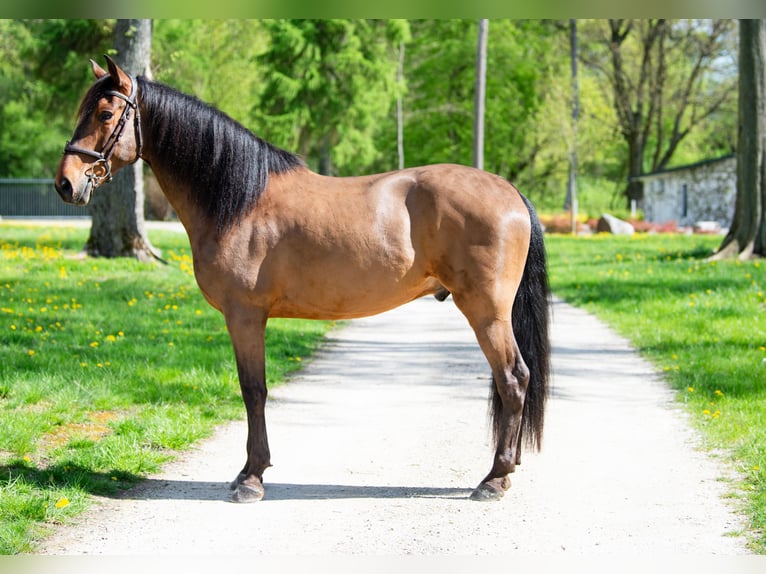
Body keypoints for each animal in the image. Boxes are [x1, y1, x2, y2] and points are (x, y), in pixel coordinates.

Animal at [55, 57, 552, 504]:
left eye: (105, 114)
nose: (65, 183)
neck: (239, 200)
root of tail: (509, 192)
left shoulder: (245, 316)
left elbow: (253, 390)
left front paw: (251, 477)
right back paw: (505, 469)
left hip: (487, 312)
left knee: (513, 378)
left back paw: (494, 479)